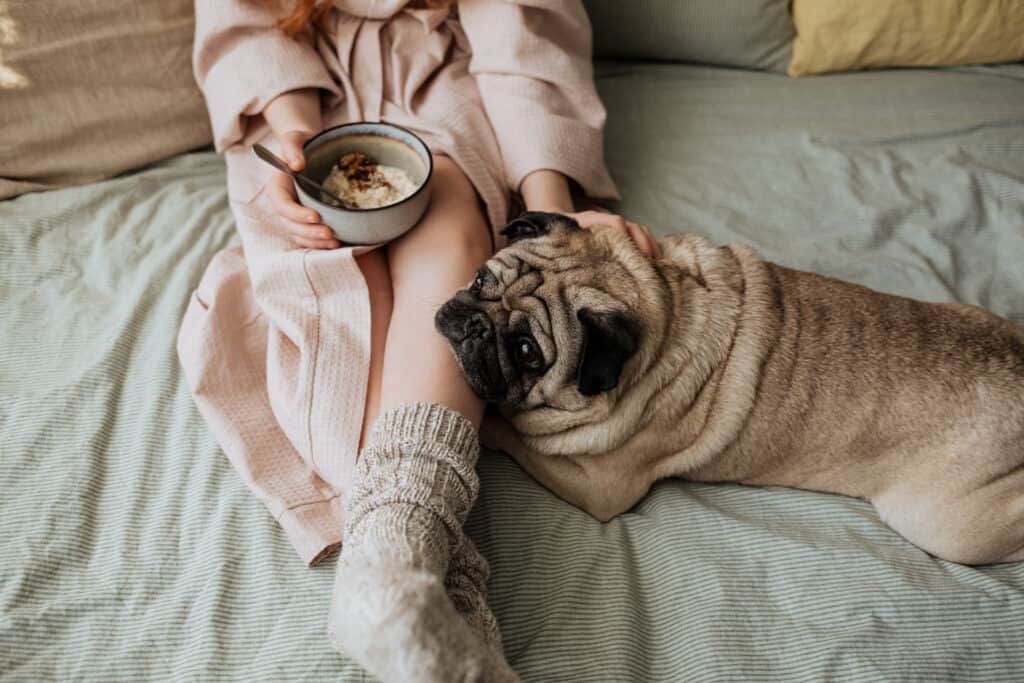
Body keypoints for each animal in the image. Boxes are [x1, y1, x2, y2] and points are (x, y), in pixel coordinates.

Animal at [434, 210, 1024, 565]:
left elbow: (515, 436)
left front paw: (489, 425)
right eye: (483, 279)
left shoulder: (600, 486)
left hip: (941, 528)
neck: (668, 303)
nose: (474, 325)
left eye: (527, 352)